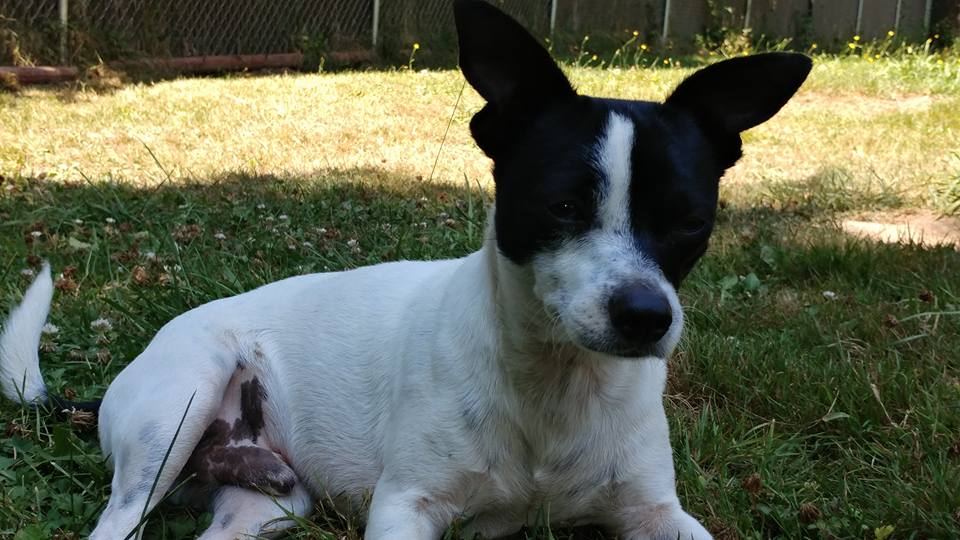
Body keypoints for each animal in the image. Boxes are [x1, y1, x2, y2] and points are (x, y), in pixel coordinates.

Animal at [0, 2, 808, 536]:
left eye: (689, 222)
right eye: (563, 206)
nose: (645, 317)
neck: (553, 388)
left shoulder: (655, 512)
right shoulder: (408, 507)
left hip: (267, 505)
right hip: (179, 408)